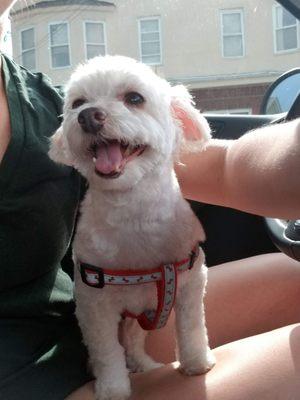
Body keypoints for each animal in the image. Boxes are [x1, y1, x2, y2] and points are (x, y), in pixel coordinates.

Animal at [49, 55, 214, 400]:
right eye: (77, 103)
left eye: (135, 98)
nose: (88, 116)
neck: (132, 211)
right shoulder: (94, 304)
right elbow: (106, 351)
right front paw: (112, 388)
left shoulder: (190, 282)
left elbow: (191, 326)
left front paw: (196, 363)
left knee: (135, 343)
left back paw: (143, 364)